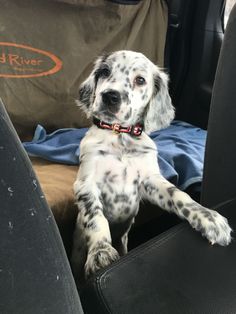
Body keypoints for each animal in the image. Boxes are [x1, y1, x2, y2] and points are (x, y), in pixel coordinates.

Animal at [71, 49, 231, 282]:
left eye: (140, 80)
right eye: (105, 71)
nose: (110, 96)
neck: (120, 137)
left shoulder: (149, 181)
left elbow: (179, 195)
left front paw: (209, 218)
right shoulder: (86, 183)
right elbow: (95, 216)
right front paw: (100, 251)